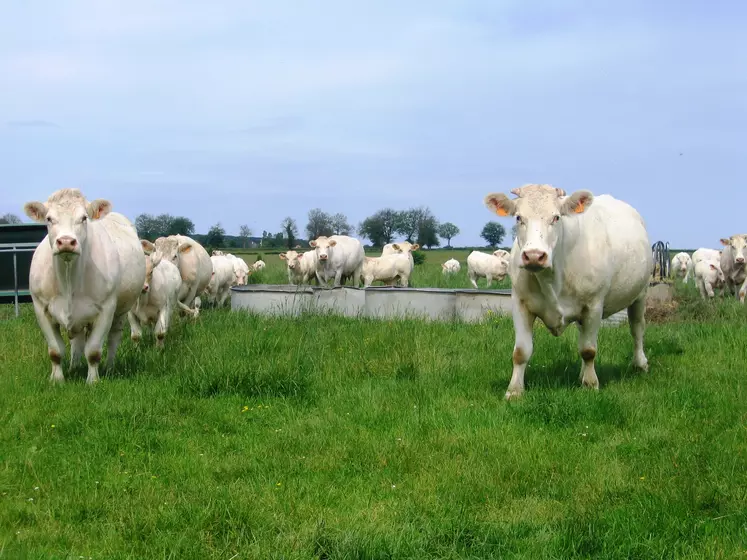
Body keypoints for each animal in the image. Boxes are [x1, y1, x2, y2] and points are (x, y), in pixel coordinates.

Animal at [23, 188, 145, 384]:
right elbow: (55, 351)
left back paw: (109, 368)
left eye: (84, 218)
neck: (68, 279)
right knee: (77, 341)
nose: (66, 241)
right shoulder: (41, 308)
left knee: (113, 338)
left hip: (121, 311)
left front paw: (93, 381)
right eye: (49, 218)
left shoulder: (106, 309)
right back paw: (74, 367)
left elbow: (94, 351)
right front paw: (57, 379)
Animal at [486, 184, 656, 398]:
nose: (534, 255)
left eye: (556, 217)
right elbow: (521, 352)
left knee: (637, 328)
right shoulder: (520, 303)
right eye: (518, 217)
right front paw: (514, 390)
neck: (552, 278)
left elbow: (588, 350)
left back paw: (640, 364)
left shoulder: (594, 304)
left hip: (640, 294)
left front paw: (590, 385)